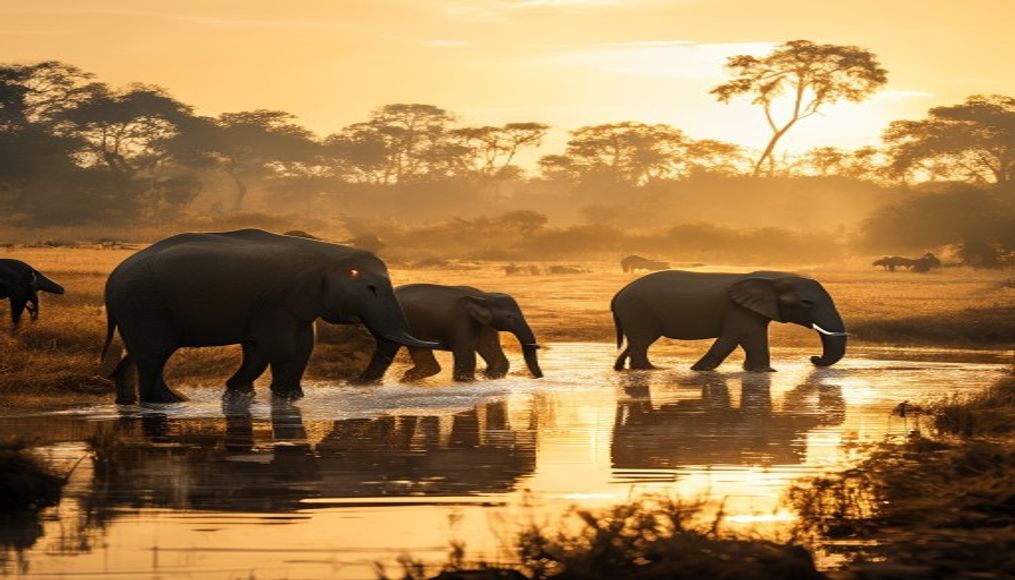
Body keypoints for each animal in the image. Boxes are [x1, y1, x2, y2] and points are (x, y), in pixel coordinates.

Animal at [102, 229, 436, 404]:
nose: (357, 383)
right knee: (154, 354)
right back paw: (170, 402)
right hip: (145, 306)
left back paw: (128, 402)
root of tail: (113, 279)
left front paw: (254, 394)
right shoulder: (277, 300)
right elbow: (281, 348)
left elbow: (298, 346)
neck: (329, 252)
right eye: (371, 288)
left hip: (136, 310)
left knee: (138, 353)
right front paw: (281, 397)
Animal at [360, 284, 543, 382]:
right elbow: (466, 358)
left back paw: (406, 379)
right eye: (509, 317)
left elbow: (494, 354)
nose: (539, 377)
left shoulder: (485, 325)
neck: (483, 296)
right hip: (388, 321)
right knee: (388, 347)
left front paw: (488, 377)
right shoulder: (460, 321)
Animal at [611, 270, 847, 372]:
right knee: (642, 340)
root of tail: (618, 294)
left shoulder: (752, 311)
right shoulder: (739, 311)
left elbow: (753, 339)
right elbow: (732, 339)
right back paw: (651, 370)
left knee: (637, 341)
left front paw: (761, 372)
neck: (774, 278)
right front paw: (698, 371)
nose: (813, 359)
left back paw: (623, 367)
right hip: (637, 310)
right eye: (807, 302)